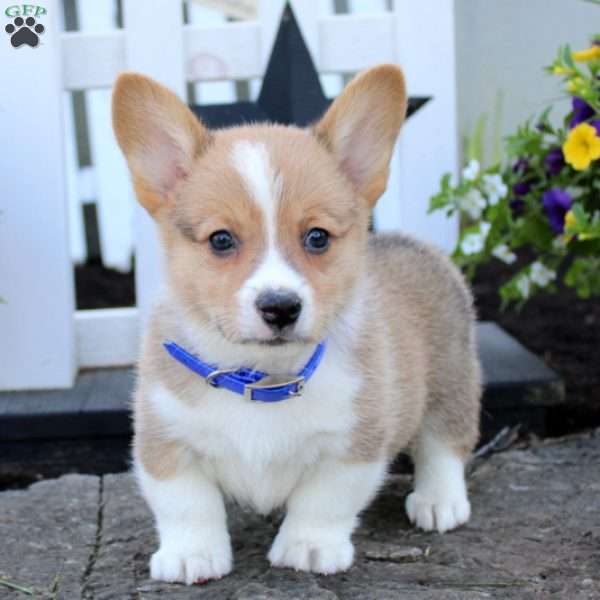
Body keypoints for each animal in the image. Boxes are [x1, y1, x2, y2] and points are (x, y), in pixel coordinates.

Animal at [111, 67, 478, 584]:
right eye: (221, 240)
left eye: (317, 237)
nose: (280, 307)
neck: (262, 375)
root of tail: (410, 243)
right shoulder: (166, 438)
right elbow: (186, 504)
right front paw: (191, 554)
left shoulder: (354, 443)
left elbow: (324, 501)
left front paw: (308, 547)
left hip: (451, 381)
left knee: (444, 444)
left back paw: (439, 501)